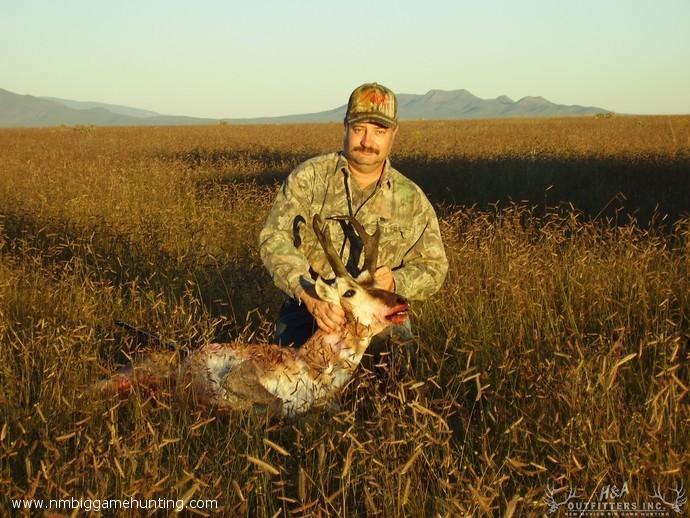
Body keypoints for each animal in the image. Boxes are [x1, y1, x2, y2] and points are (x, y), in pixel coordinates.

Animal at [96, 215, 408, 418]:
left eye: (375, 282)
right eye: (349, 292)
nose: (400, 301)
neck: (309, 366)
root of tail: (186, 357)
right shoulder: (242, 376)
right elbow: (275, 406)